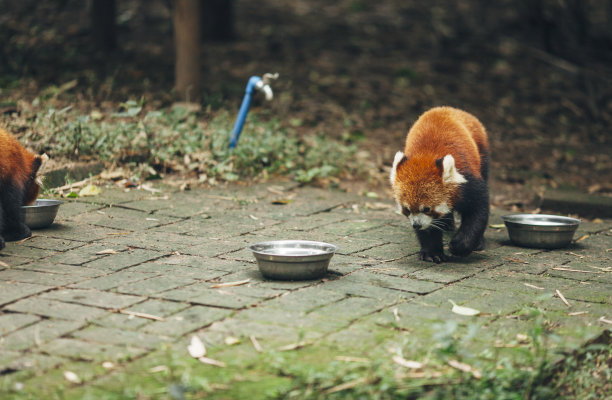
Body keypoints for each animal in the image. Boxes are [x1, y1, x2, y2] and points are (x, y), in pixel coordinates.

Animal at [390, 107, 490, 262]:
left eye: (427, 209)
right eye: (407, 209)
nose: (416, 225)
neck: (426, 156)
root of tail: (449, 108)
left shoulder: (469, 182)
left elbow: (478, 212)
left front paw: (460, 246)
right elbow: (429, 228)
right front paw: (432, 252)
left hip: (482, 153)